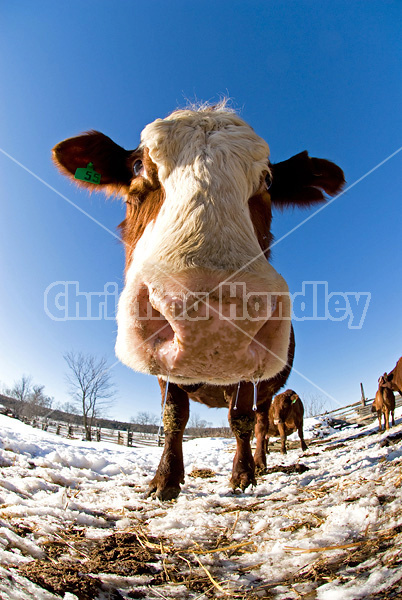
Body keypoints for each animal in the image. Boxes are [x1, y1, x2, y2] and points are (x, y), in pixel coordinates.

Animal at [51, 105, 344, 500]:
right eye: (139, 166)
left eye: (268, 180)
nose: (213, 318)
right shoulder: (164, 367)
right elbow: (174, 415)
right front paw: (165, 480)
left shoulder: (250, 376)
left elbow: (242, 418)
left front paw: (242, 475)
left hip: (272, 390)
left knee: (262, 422)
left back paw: (260, 463)